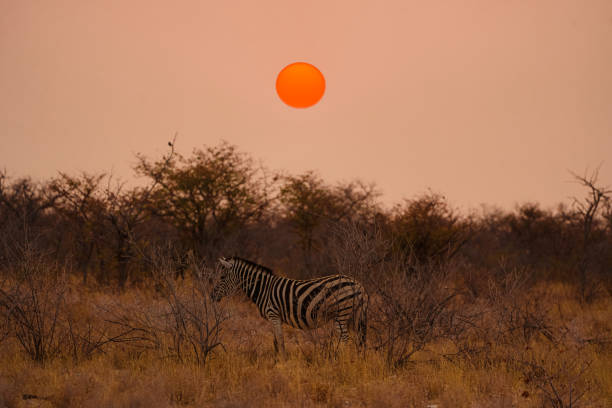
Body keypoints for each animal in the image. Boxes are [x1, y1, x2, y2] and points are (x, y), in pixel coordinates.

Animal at [210, 258, 368, 354]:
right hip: (354, 314)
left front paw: (282, 362)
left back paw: (340, 360)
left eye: (222, 277)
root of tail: (359, 284)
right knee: (357, 339)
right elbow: (275, 340)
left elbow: (280, 340)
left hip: (341, 314)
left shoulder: (273, 314)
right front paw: (276, 360)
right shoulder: (275, 318)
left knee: (345, 338)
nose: (211, 296)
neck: (263, 289)